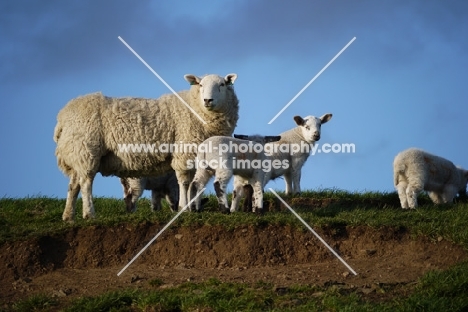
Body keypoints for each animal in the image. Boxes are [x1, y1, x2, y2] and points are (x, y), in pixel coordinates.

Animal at [53, 73, 239, 221]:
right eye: (200, 85)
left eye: (222, 84)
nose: (208, 100)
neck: (195, 108)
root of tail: (62, 118)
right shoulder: (184, 152)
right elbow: (185, 182)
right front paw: (184, 208)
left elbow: (193, 182)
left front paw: (191, 207)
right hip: (87, 151)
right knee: (86, 183)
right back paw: (89, 213)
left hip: (76, 153)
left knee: (73, 185)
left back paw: (68, 216)